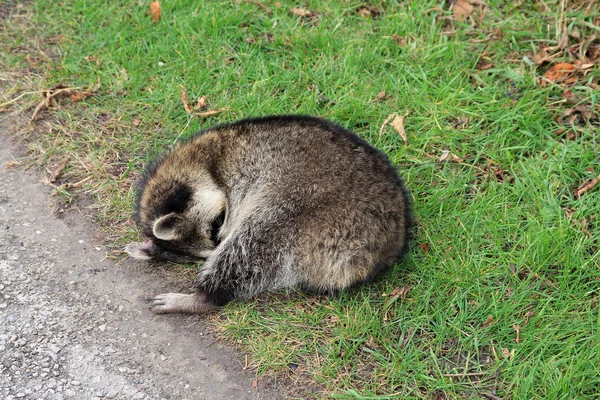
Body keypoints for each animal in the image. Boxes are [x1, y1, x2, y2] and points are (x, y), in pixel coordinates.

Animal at [124, 115, 410, 316]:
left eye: (217, 225)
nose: (218, 245)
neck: (202, 163)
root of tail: (387, 244)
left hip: (311, 206)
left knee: (251, 243)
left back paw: (204, 298)